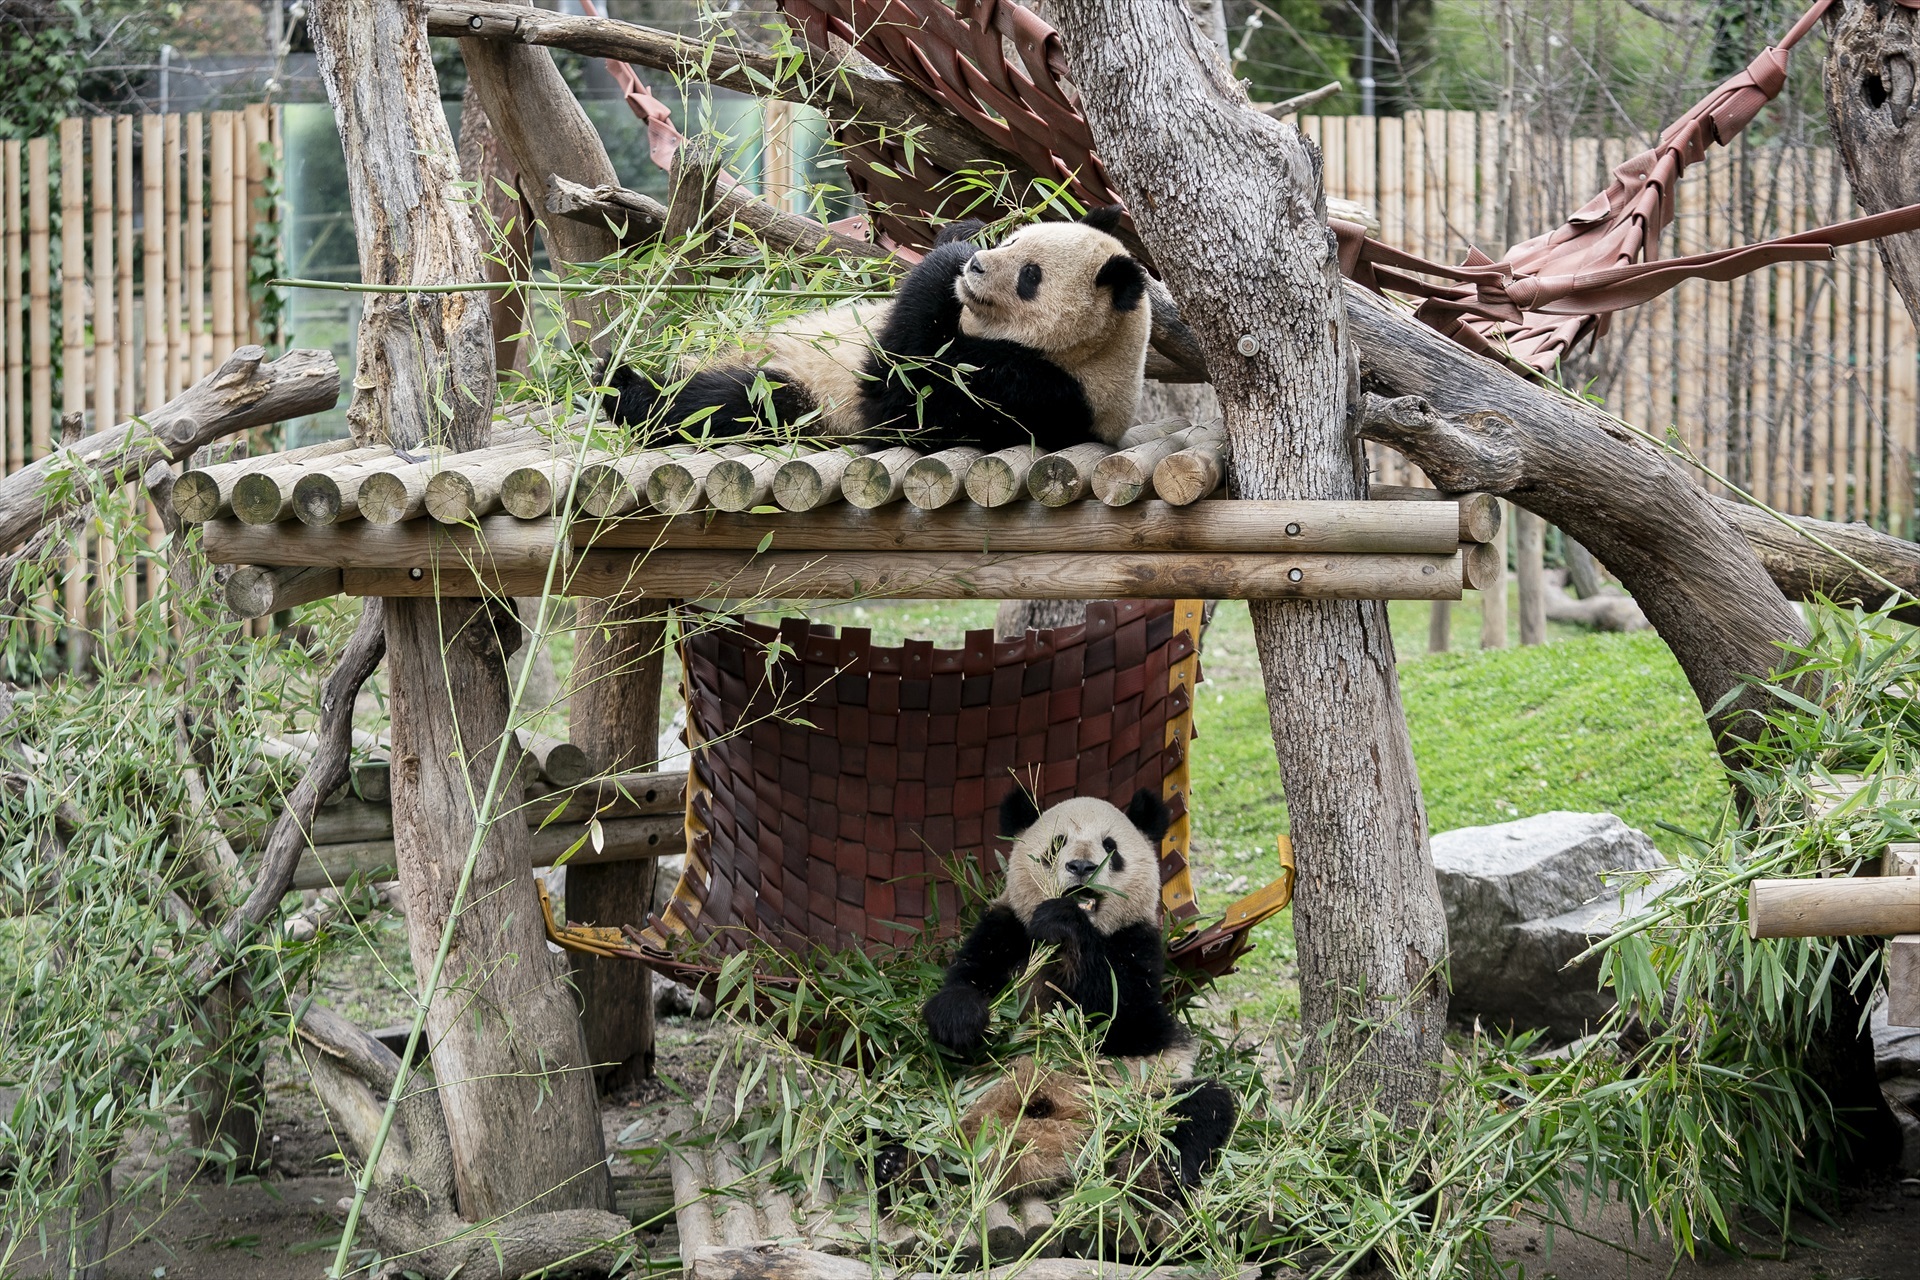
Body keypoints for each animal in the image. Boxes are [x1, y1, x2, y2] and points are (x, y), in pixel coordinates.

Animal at [610, 209, 1152, 450]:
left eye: (1030, 276)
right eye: (1013, 240)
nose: (977, 265)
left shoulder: (1041, 390)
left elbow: (902, 394)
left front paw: (949, 260)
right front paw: (962, 234)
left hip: (808, 399)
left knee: (733, 401)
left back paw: (623, 389)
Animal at [921, 786, 1236, 1197]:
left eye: (1110, 847)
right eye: (1057, 843)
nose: (1083, 867)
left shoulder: (1139, 945)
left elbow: (1125, 1016)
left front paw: (1064, 920)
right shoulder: (1007, 929)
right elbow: (970, 976)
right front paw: (959, 1019)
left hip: (1142, 1092)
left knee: (1196, 1109)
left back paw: (1151, 1175)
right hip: (954, 1097)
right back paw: (902, 1163)